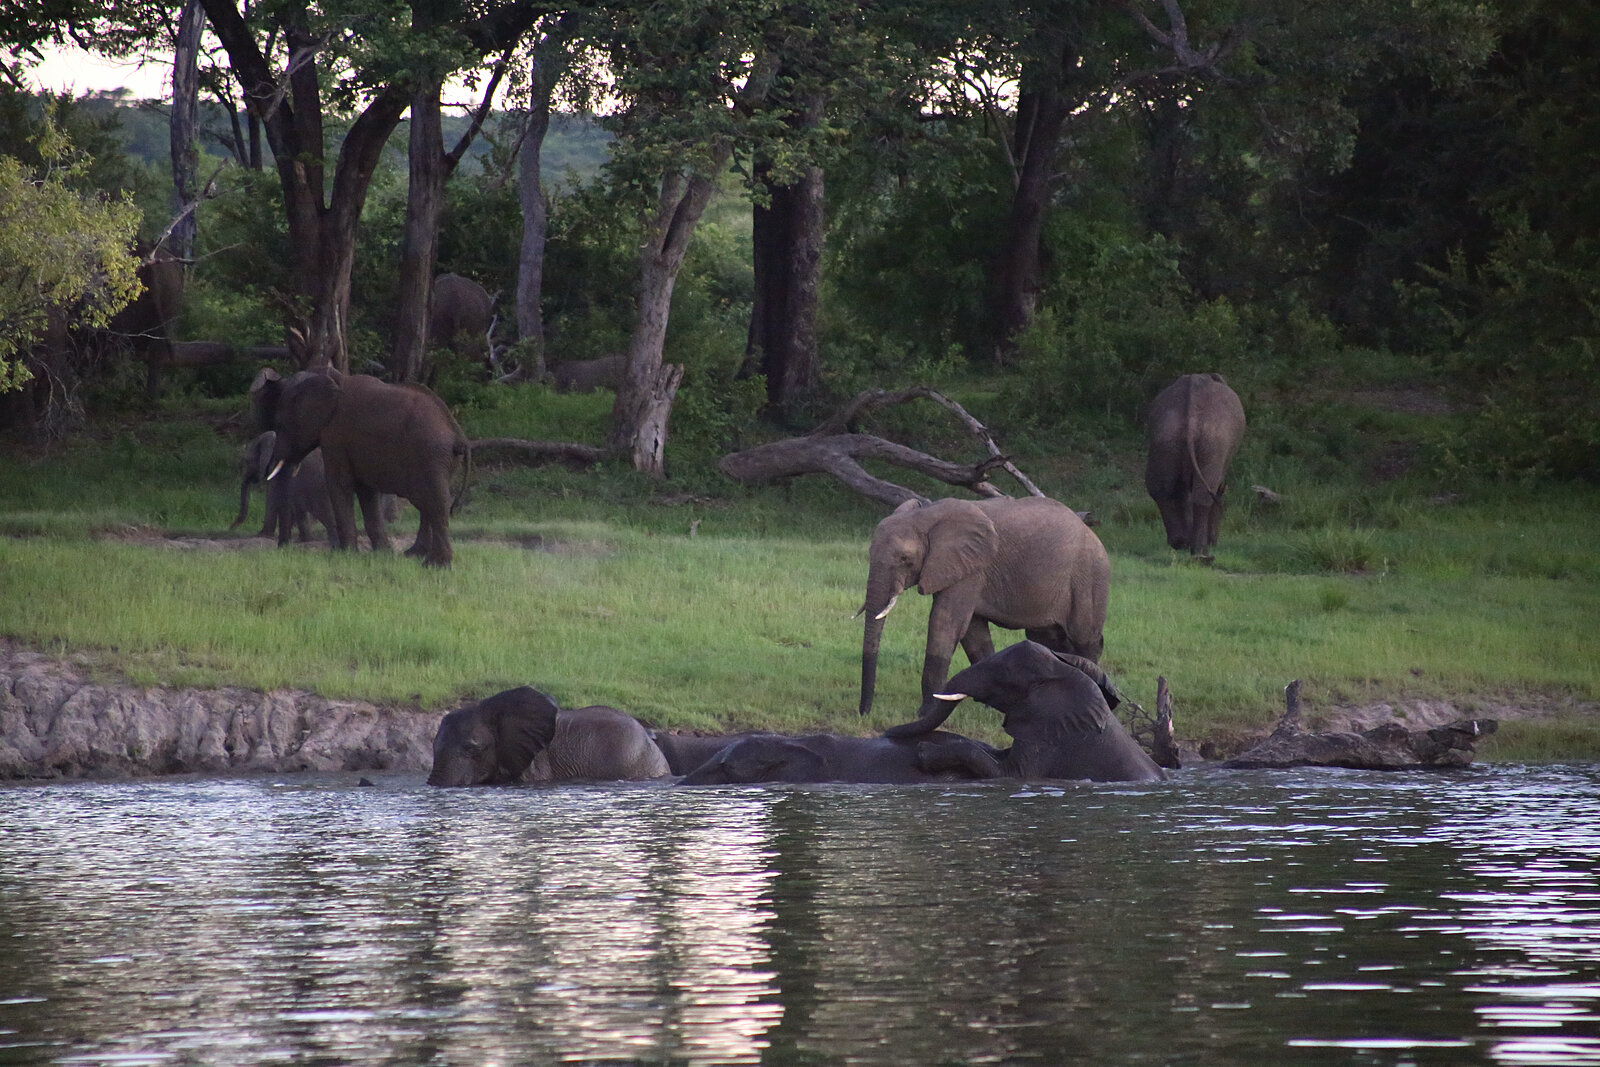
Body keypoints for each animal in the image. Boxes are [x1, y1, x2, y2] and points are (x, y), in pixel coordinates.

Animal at [250, 367, 470, 567]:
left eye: (280, 423)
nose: (282, 548)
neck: (330, 378)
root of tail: (457, 434)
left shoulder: (336, 435)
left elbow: (340, 484)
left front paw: (345, 555)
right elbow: (366, 491)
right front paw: (382, 554)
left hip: (430, 454)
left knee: (435, 502)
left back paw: (435, 564)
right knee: (427, 503)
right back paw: (414, 555)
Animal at [858, 496, 1110, 726]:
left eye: (904, 559)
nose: (864, 714)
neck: (927, 514)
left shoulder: (971, 568)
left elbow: (945, 624)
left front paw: (925, 712)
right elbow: (973, 633)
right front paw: (992, 705)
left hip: (1089, 578)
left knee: (1084, 639)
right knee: (1047, 639)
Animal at [888, 640, 1166, 784]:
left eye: (1002, 675)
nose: (889, 731)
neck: (1061, 672)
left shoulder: (1053, 739)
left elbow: (1004, 772)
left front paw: (924, 752)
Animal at [1145, 372, 1246, 559]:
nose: (1215, 541)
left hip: (1165, 437)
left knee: (1163, 490)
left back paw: (1180, 543)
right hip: (1214, 441)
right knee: (1204, 495)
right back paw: (1200, 552)